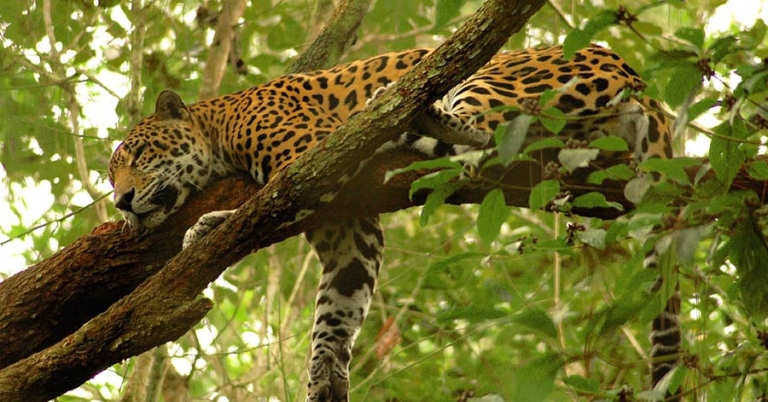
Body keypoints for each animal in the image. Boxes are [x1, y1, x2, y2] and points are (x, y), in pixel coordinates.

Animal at [108, 45, 675, 401]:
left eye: (138, 154)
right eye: (111, 176)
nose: (121, 202)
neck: (218, 125)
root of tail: (643, 83)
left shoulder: (315, 156)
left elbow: (266, 208)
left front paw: (208, 225)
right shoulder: (350, 233)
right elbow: (337, 307)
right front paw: (323, 377)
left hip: (493, 78)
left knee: (485, 137)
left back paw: (404, 112)